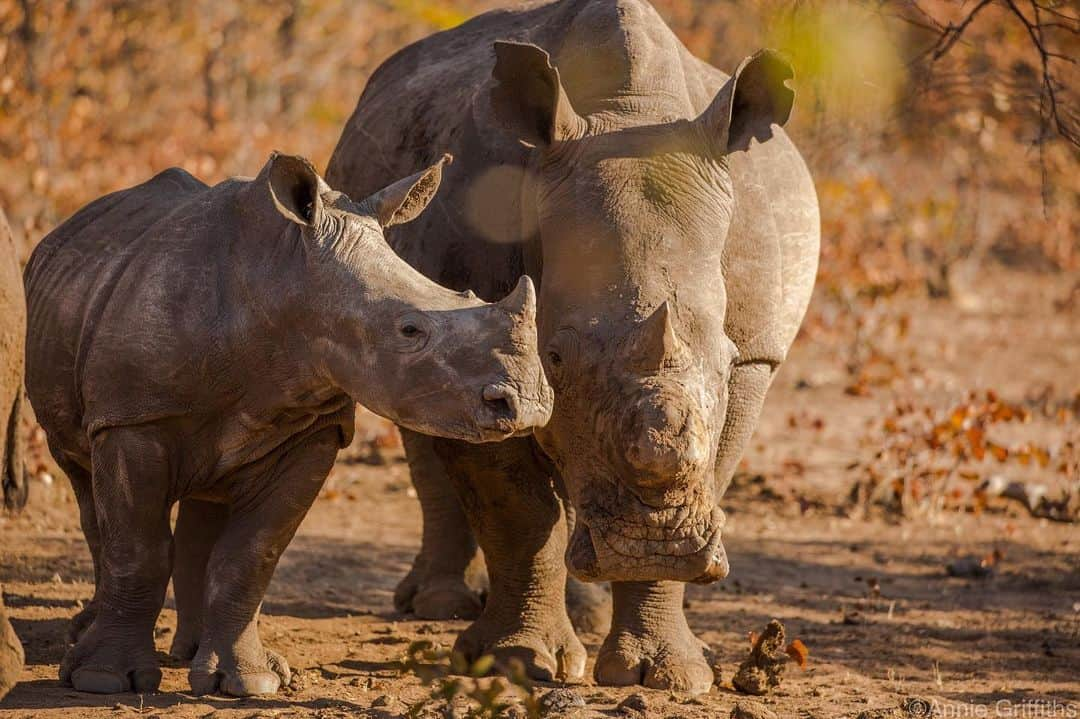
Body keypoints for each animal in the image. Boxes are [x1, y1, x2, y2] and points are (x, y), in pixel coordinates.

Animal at [25, 152, 552, 695]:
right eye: (410, 330)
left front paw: (249, 683)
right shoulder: (133, 417)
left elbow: (253, 554)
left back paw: (193, 654)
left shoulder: (313, 429)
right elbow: (137, 548)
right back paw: (86, 640)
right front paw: (103, 679)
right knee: (85, 487)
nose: (528, 403)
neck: (282, 279)